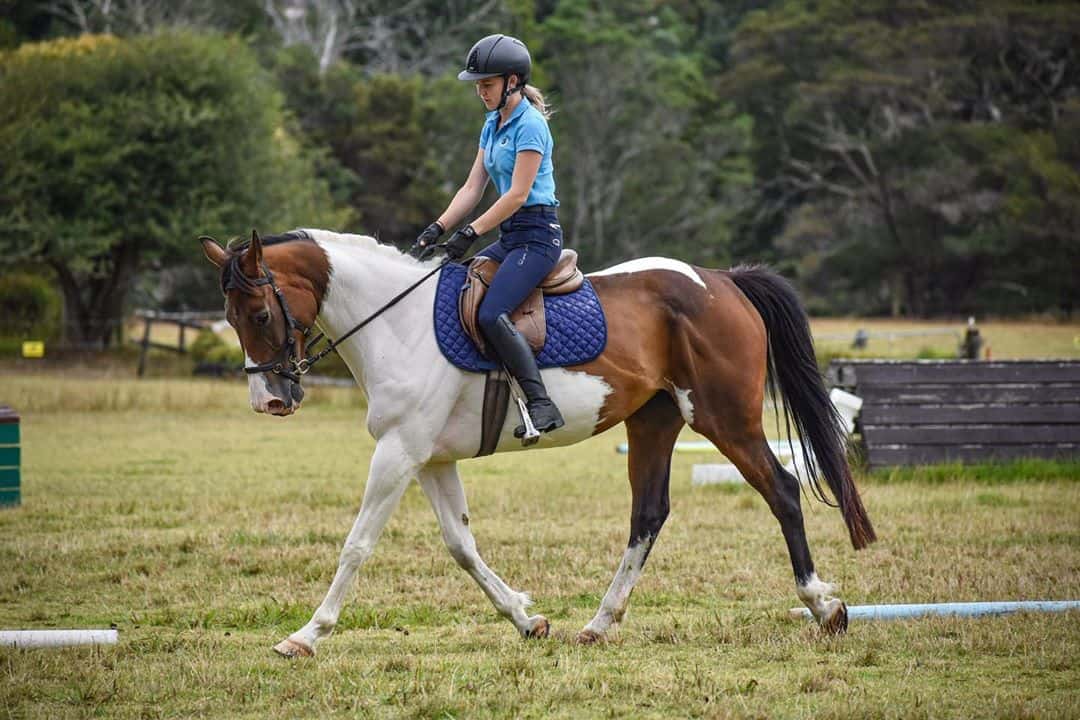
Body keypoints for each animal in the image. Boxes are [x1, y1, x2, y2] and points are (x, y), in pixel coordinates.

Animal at [200, 228, 875, 657]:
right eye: (230, 318)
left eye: (259, 314)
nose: (270, 402)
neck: (397, 322)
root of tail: (723, 281)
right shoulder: (429, 457)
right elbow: (461, 546)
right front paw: (527, 620)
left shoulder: (399, 451)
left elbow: (357, 545)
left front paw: (306, 635)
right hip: (654, 421)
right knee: (648, 514)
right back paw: (599, 624)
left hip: (723, 416)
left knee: (781, 490)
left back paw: (825, 608)